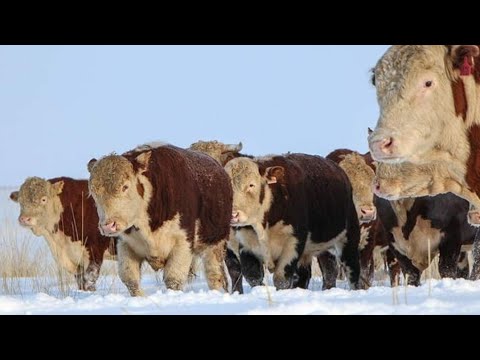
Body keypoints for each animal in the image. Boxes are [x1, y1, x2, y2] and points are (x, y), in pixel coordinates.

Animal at [89, 142, 234, 296]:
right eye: (93, 191)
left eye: (125, 186)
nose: (107, 226)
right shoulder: (124, 245)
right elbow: (130, 279)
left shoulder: (183, 242)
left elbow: (173, 279)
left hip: (215, 245)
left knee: (215, 276)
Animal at [224, 154, 360, 290]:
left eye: (251, 185)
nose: (233, 214)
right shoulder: (245, 245)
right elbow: (253, 276)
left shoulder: (293, 244)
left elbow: (281, 280)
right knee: (322, 272)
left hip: (349, 238)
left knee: (352, 270)